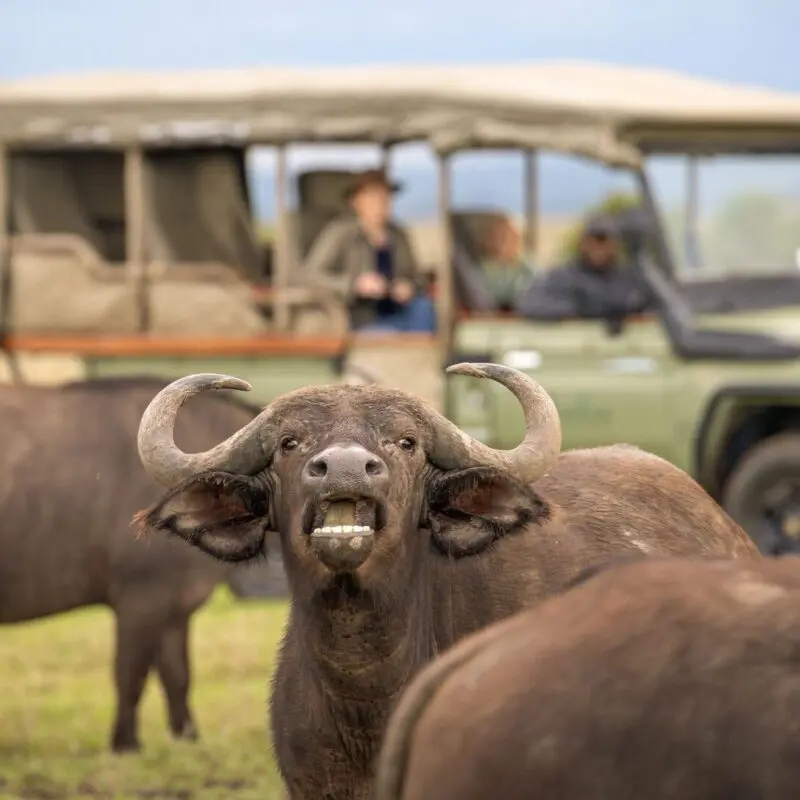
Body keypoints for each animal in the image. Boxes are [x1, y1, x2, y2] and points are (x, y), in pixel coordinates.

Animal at [0, 376, 264, 753]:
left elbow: (177, 674)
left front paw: (187, 737)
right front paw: (125, 743)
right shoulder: (140, 597)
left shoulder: (176, 607)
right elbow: (131, 671)